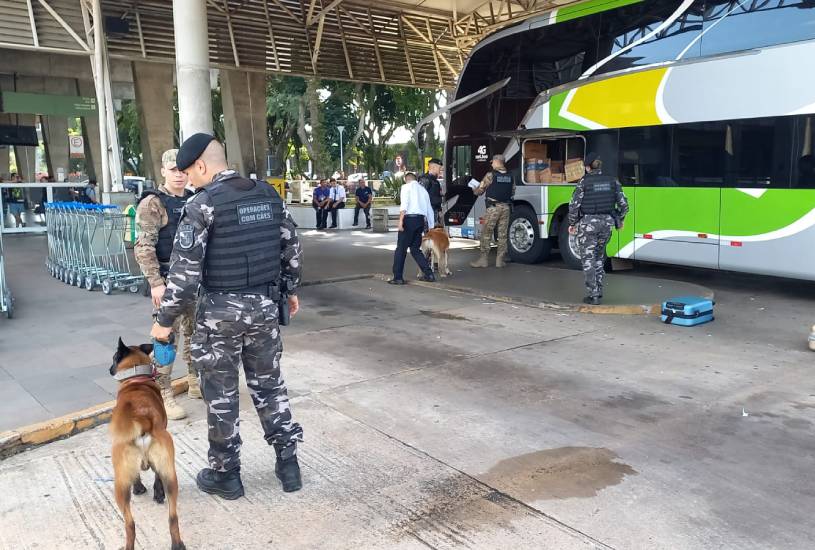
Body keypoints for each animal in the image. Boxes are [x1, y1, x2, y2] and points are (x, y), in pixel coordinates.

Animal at [107, 338, 184, 548]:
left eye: (114, 357)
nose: (109, 369)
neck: (136, 380)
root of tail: (142, 419)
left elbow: (137, 477)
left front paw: (139, 487)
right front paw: (156, 492)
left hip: (119, 484)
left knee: (129, 524)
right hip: (170, 475)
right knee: (172, 517)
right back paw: (177, 544)